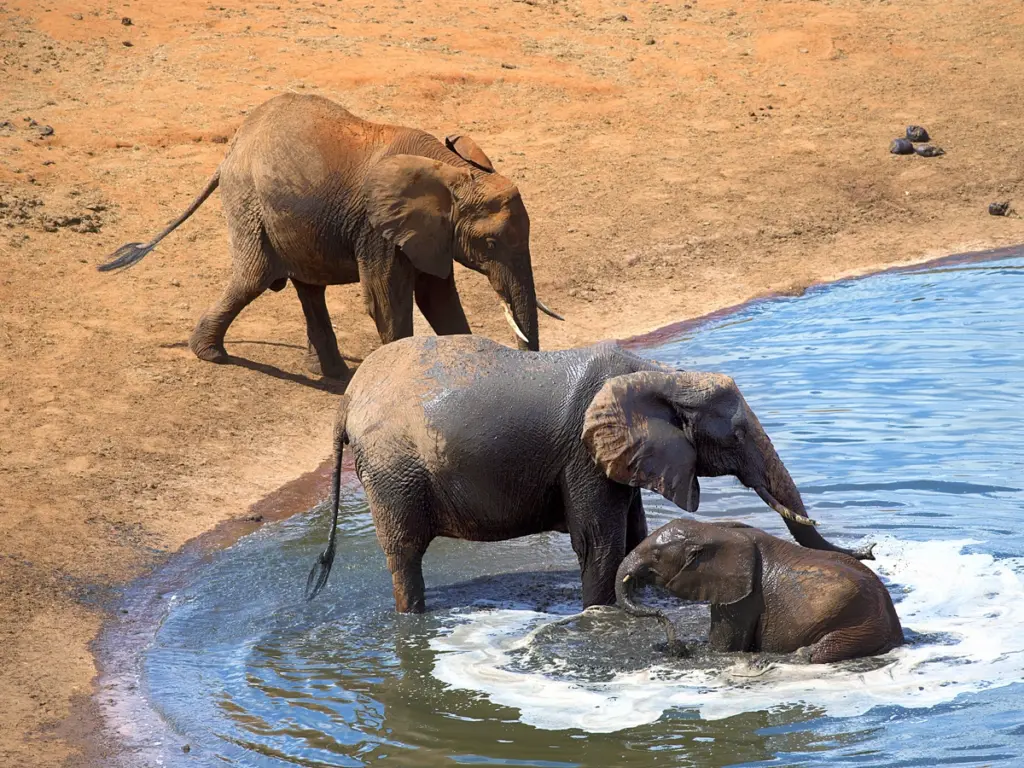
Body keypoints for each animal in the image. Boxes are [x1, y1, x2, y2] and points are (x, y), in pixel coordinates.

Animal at [96, 92, 561, 378]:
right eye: (490, 244)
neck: (452, 168)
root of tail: (232, 148)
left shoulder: (431, 232)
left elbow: (437, 298)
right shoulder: (378, 228)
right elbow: (387, 303)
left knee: (307, 287)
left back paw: (329, 372)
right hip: (249, 202)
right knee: (254, 278)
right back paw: (213, 355)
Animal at [303, 335, 872, 614]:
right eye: (735, 434)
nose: (872, 549)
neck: (661, 374)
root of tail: (347, 398)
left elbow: (635, 533)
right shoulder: (581, 455)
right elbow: (600, 540)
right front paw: (601, 615)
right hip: (392, 471)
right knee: (404, 554)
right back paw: (413, 620)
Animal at [610, 520, 901, 663]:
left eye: (656, 556)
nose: (676, 646)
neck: (717, 529)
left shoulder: (743, 596)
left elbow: (724, 647)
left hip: (861, 625)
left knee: (817, 654)